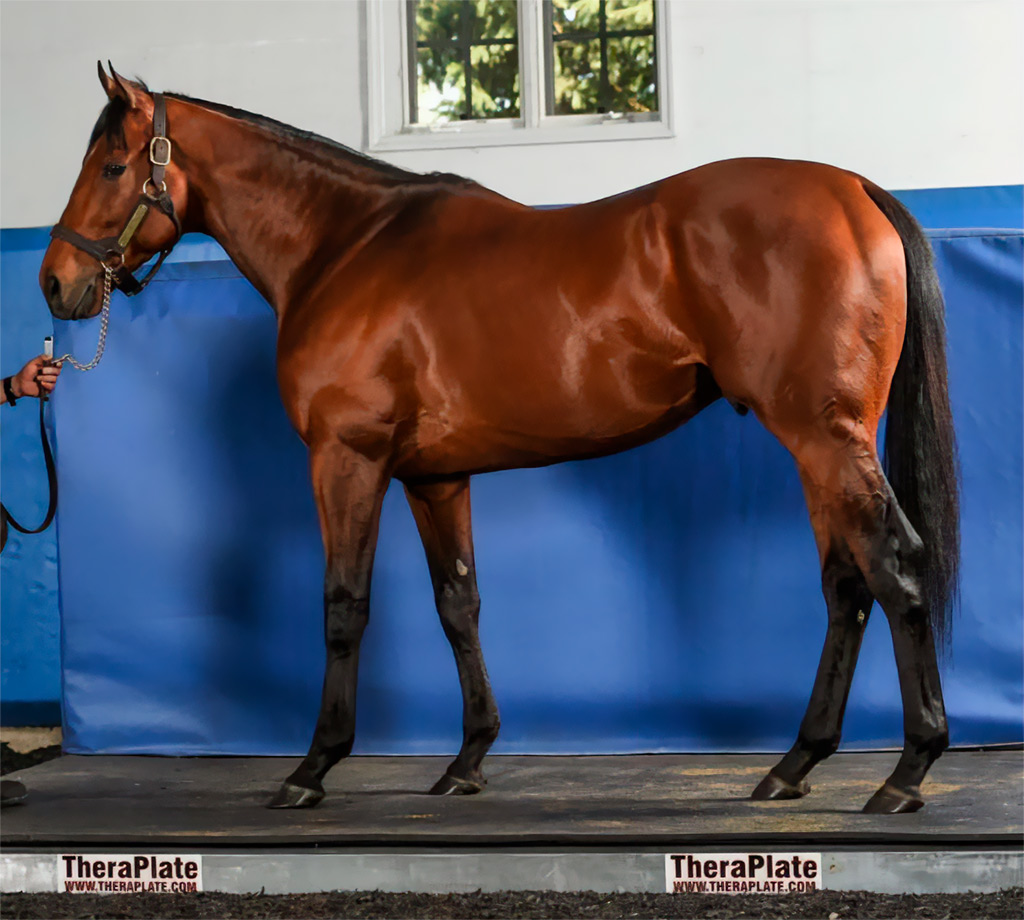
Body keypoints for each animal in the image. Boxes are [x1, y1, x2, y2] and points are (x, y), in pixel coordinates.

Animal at [40, 64, 959, 814]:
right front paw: (468, 761)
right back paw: (795, 763)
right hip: (819, 449)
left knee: (896, 566)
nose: (56, 282)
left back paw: (907, 771)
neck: (347, 248)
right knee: (846, 584)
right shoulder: (434, 478)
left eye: (112, 166)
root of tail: (853, 190)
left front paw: (313, 767)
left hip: (824, 439)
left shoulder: (346, 459)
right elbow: (459, 604)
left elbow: (344, 605)